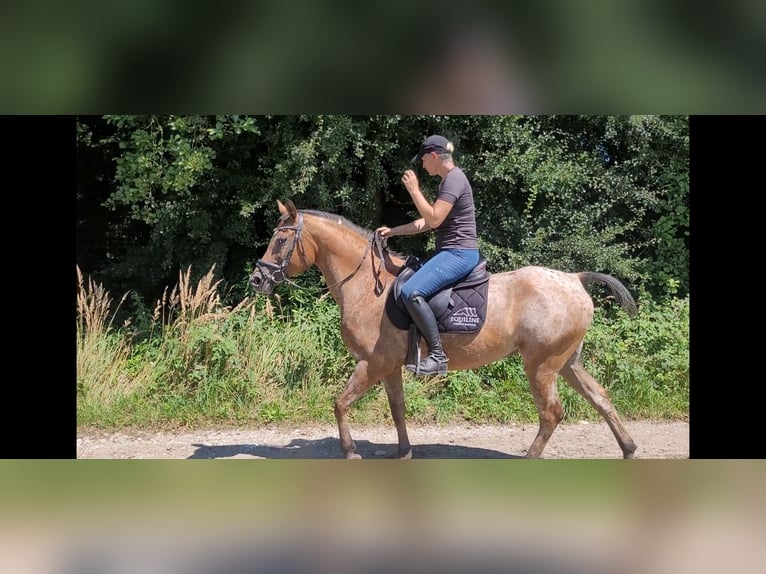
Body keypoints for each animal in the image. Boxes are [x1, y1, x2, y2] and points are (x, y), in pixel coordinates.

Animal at [249, 200, 640, 462]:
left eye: (281, 242)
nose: (257, 279)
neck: (366, 287)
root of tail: (574, 279)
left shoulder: (372, 364)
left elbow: (340, 403)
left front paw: (351, 452)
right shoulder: (389, 367)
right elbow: (397, 408)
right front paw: (404, 451)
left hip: (542, 365)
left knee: (551, 414)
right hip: (567, 361)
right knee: (601, 398)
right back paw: (629, 448)